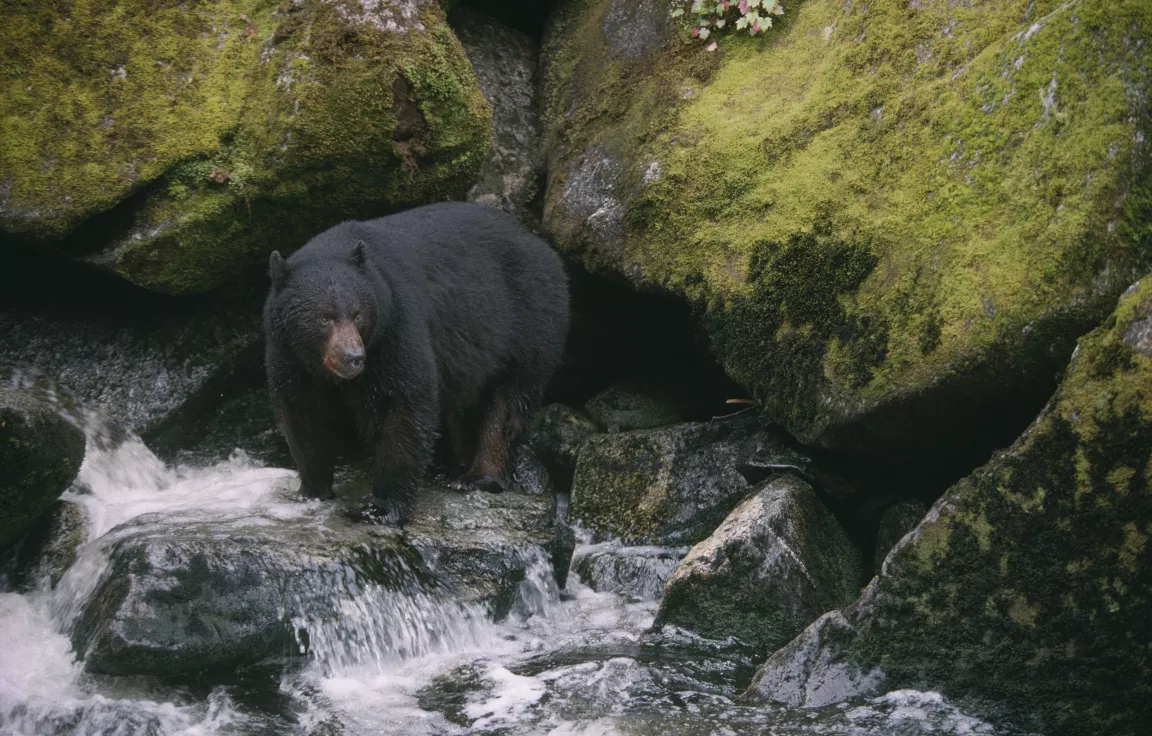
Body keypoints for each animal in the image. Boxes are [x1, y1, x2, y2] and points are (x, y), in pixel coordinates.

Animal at [261, 201, 566, 525]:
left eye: (357, 314)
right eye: (324, 317)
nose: (354, 358)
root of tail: (543, 246)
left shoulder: (394, 327)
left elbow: (403, 406)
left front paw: (383, 507)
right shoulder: (289, 355)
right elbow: (301, 414)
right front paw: (312, 489)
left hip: (529, 322)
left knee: (506, 404)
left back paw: (478, 475)